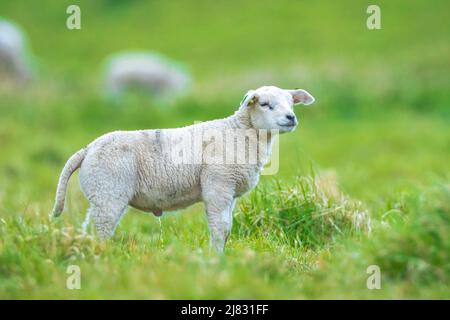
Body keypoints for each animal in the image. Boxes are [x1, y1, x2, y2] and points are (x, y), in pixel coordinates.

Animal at [52, 86, 314, 251]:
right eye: (265, 104)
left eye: (292, 104)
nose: (291, 118)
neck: (240, 133)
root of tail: (88, 149)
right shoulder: (218, 185)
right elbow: (220, 228)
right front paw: (216, 258)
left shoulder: (229, 192)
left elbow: (228, 228)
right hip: (108, 190)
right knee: (101, 227)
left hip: (102, 192)